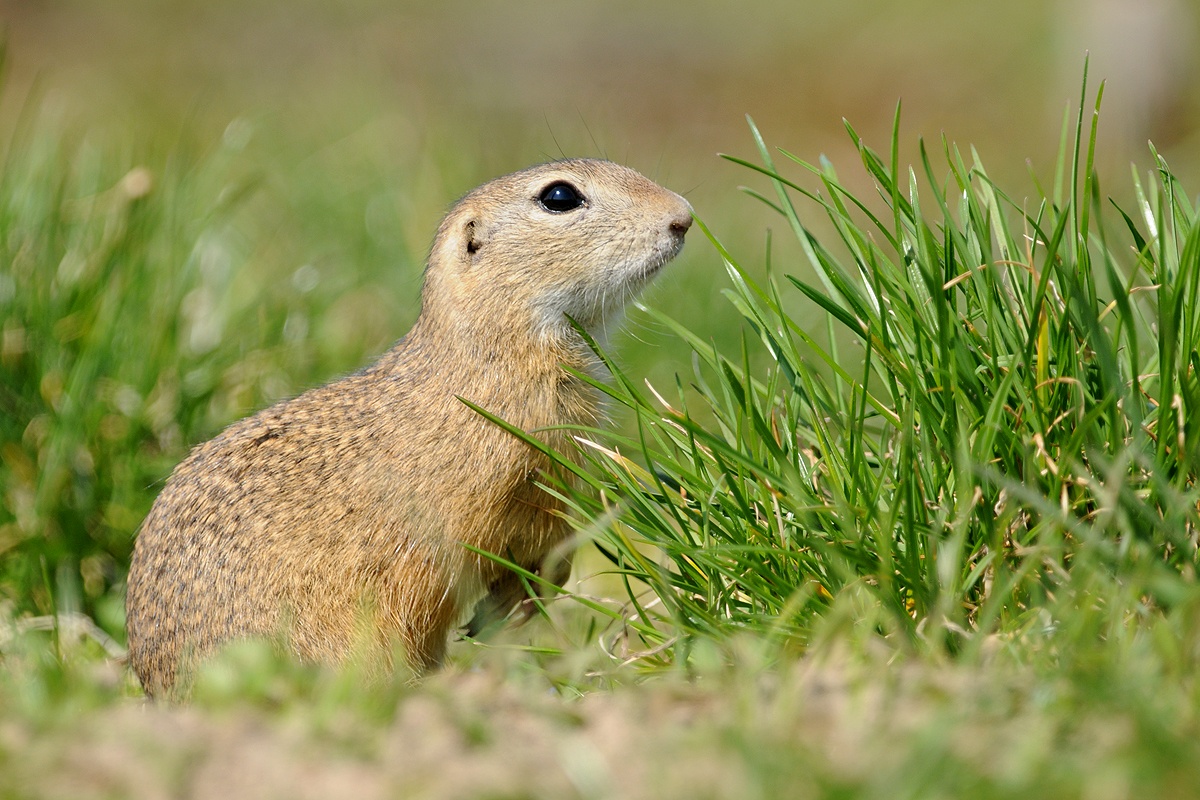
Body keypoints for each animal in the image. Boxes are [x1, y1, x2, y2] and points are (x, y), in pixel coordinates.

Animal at [125, 155, 696, 695]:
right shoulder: (513, 477)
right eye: (559, 196)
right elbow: (528, 539)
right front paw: (518, 603)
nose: (684, 216)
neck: (490, 352)